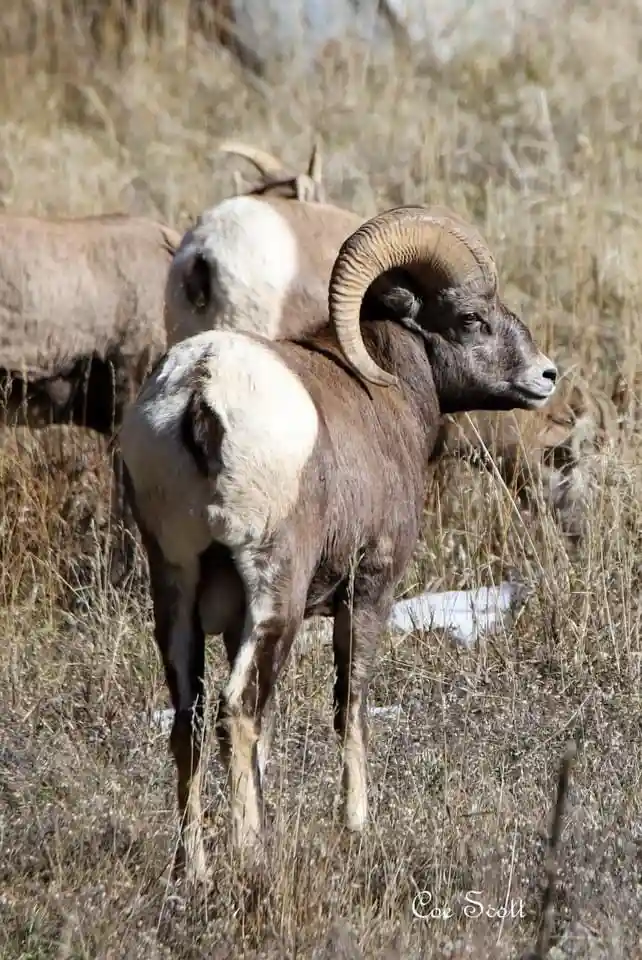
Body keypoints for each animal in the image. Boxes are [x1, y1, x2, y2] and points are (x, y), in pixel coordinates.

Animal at [119, 203, 558, 879]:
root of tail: (201, 393)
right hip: (277, 590)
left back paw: (192, 868)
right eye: (470, 319)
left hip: (174, 588)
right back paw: (253, 855)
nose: (546, 377)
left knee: (189, 719)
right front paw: (356, 824)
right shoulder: (368, 592)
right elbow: (350, 706)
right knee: (235, 711)